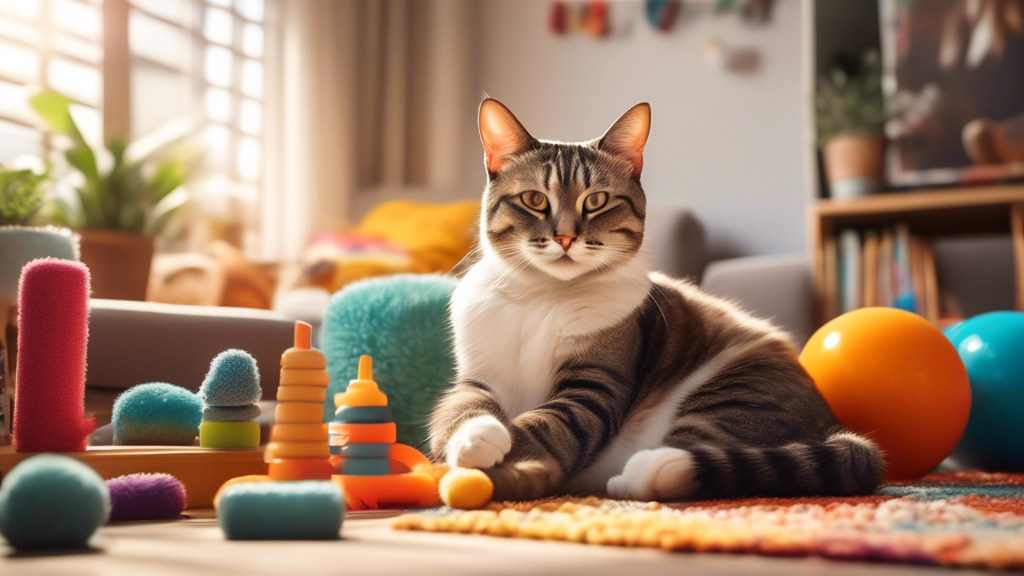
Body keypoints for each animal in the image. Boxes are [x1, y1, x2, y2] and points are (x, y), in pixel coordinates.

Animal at [428, 98, 884, 498]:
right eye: (534, 199)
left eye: (596, 200)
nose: (565, 237)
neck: (543, 296)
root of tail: (832, 423)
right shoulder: (477, 375)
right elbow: (461, 407)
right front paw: (477, 437)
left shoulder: (595, 385)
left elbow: (550, 423)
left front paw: (504, 452)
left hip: (739, 390)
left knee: (703, 452)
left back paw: (643, 475)